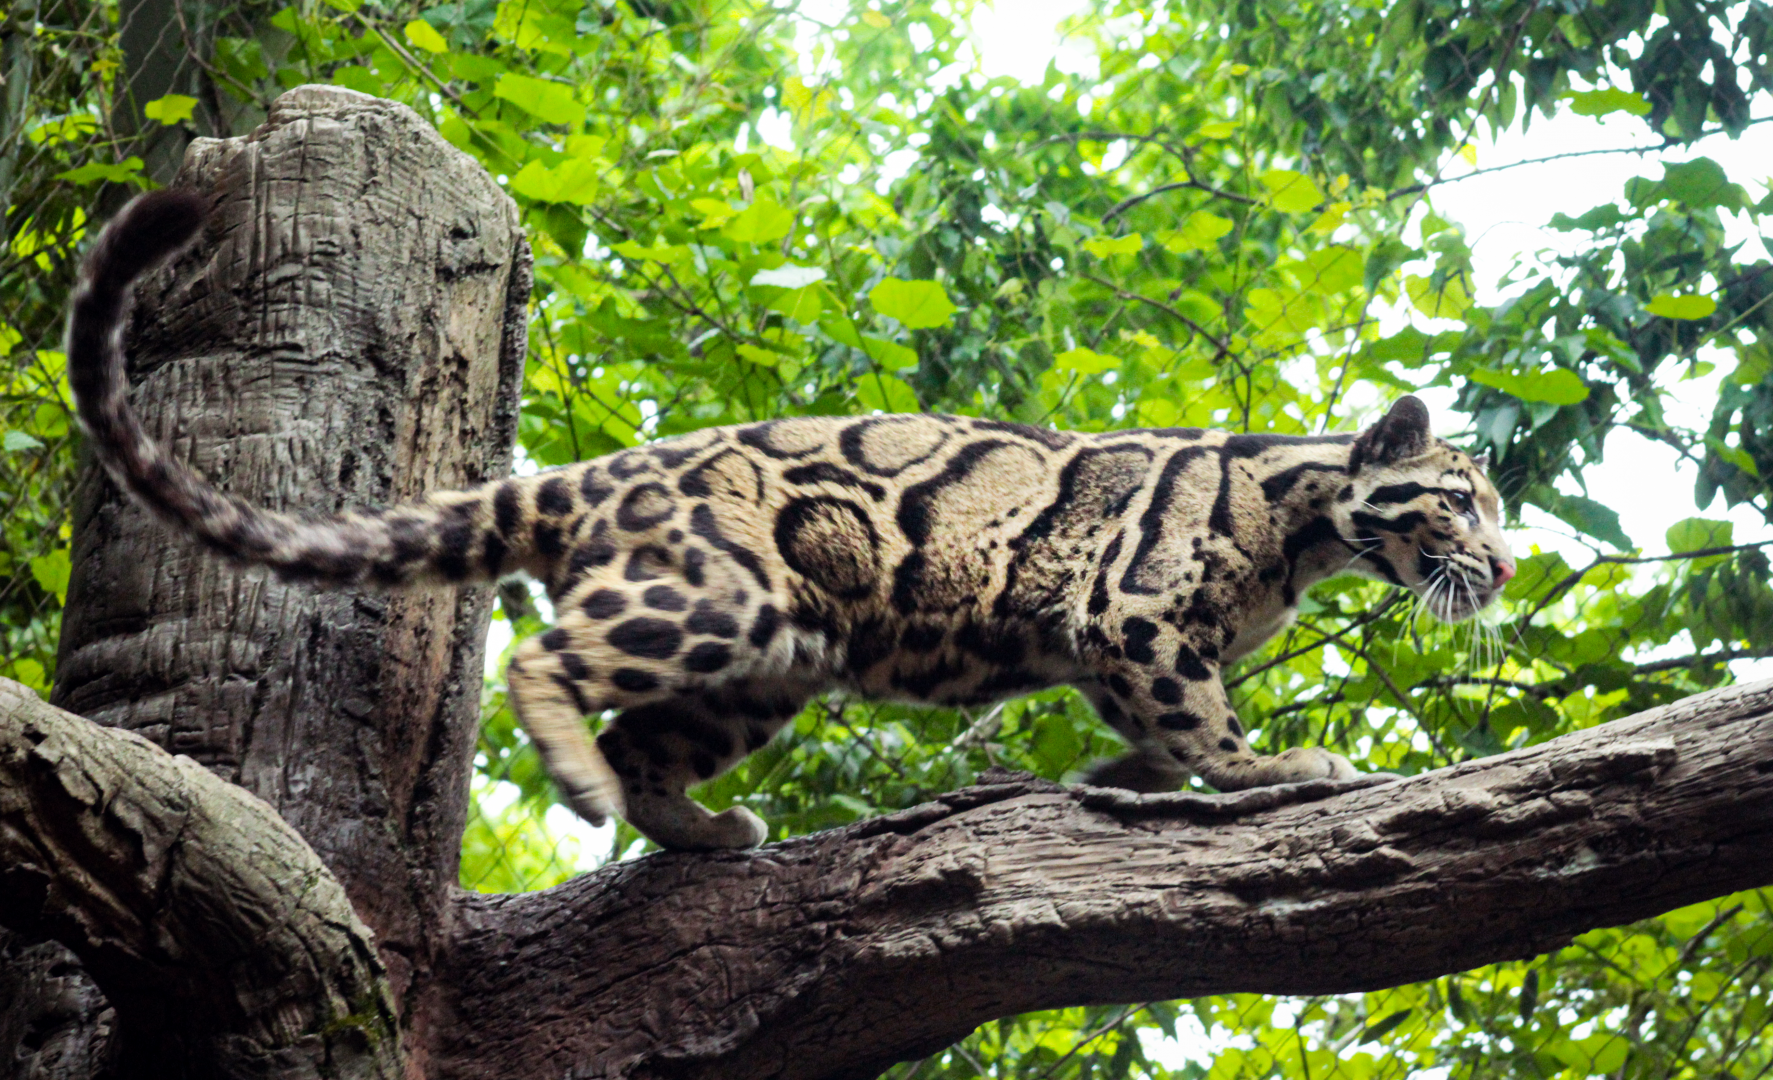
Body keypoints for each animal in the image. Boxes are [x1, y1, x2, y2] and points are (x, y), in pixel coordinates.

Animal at [68, 189, 1517, 851]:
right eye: (1459, 502)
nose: (1503, 569)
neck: (1305, 527)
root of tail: (586, 475)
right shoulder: (1133, 614)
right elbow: (1199, 726)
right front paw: (1276, 771)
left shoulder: (1126, 642)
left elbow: (1153, 740)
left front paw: (1121, 782)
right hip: (714, 597)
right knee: (546, 661)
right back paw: (582, 781)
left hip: (779, 653)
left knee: (651, 743)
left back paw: (701, 827)